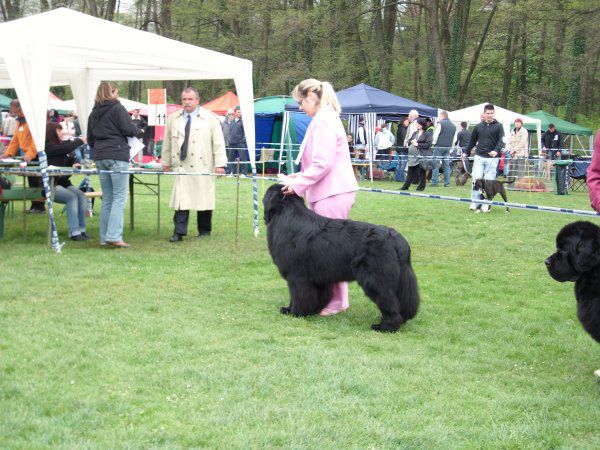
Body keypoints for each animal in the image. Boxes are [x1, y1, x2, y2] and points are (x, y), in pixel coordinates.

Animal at [264, 183, 420, 330]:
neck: (286, 214)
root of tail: (397, 239)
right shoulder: (319, 278)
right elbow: (317, 296)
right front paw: (313, 311)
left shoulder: (297, 276)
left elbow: (298, 296)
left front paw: (293, 312)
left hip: (375, 278)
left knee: (388, 300)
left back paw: (385, 326)